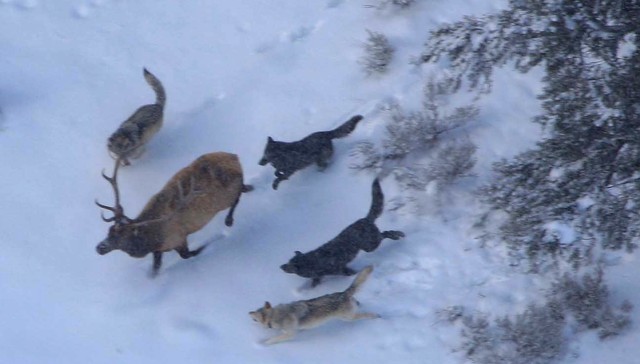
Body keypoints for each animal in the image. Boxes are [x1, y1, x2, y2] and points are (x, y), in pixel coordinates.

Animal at [96, 151, 254, 276]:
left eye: (122, 237)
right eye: (109, 231)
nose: (99, 247)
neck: (151, 239)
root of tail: (235, 156)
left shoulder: (178, 239)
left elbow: (189, 254)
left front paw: (215, 239)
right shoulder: (158, 250)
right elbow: (155, 269)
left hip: (226, 196)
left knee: (237, 197)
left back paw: (229, 220)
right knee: (243, 188)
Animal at [249, 264, 380, 344]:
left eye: (254, 315)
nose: (248, 312)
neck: (275, 315)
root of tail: (343, 293)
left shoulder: (290, 334)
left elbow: (273, 339)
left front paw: (263, 343)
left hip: (348, 318)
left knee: (366, 315)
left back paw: (377, 316)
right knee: (358, 303)